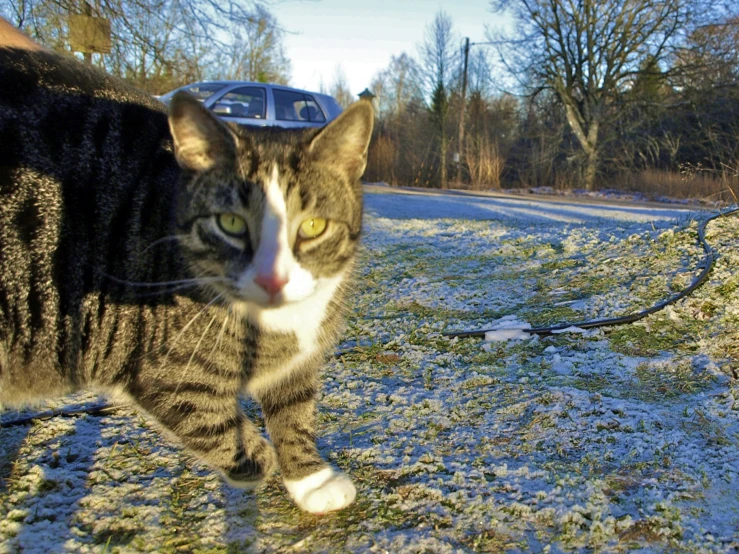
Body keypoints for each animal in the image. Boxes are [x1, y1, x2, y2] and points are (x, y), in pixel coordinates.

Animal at [0, 37, 372, 512]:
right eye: (229, 223)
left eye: (312, 226)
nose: (273, 279)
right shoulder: (157, 362)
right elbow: (207, 416)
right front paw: (256, 461)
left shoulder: (298, 363)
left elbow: (295, 409)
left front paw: (311, 479)